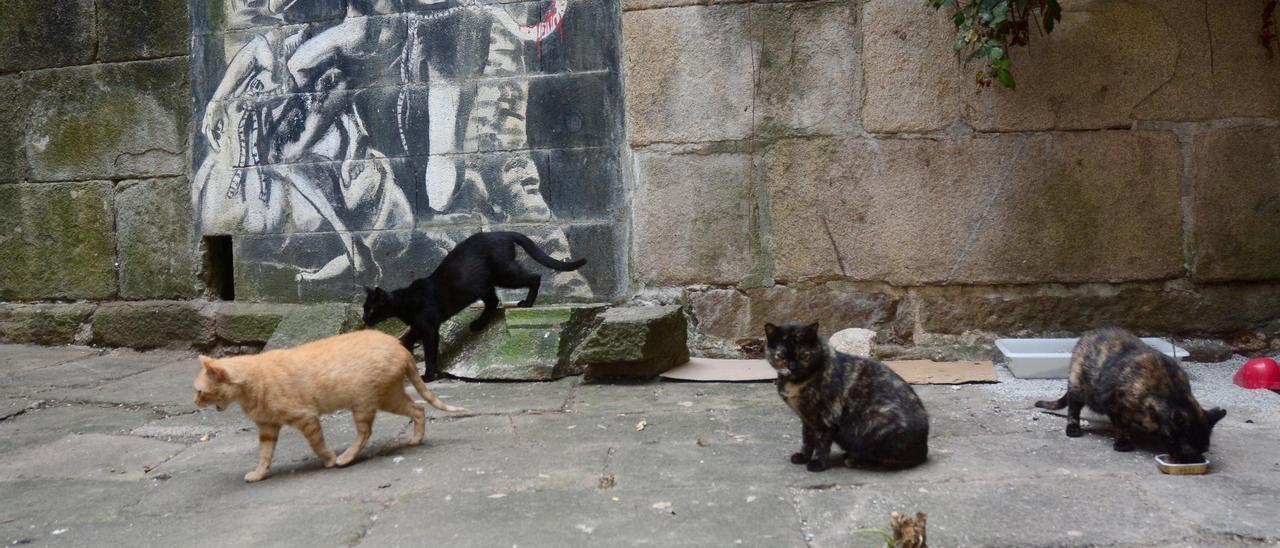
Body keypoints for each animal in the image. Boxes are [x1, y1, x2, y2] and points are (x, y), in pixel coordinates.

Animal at [192, 330, 463, 478]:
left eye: (199, 392)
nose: (194, 402)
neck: (251, 383)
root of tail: (400, 346)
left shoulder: (306, 418)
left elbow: (317, 444)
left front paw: (330, 458)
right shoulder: (267, 428)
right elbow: (265, 455)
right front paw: (259, 474)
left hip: (366, 402)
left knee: (366, 432)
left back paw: (345, 458)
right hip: (389, 397)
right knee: (418, 408)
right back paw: (416, 439)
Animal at [363, 231, 586, 381]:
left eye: (371, 309)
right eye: (365, 308)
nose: (364, 318)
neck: (405, 303)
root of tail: (503, 232)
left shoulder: (429, 329)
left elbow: (429, 353)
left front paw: (428, 375)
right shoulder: (418, 327)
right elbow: (404, 340)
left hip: (503, 274)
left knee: (534, 277)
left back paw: (527, 303)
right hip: (483, 284)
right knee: (493, 301)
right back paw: (478, 324)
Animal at [757, 321, 931, 471]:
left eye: (803, 356)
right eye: (782, 356)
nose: (793, 367)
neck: (796, 382)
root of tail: (923, 450)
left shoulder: (826, 416)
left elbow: (821, 442)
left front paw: (817, 463)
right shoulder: (807, 419)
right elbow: (807, 439)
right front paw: (803, 456)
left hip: (877, 419)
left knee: (886, 460)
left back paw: (853, 460)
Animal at [1034, 325, 1223, 463]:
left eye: (1204, 449)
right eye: (1188, 450)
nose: (1197, 460)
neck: (1171, 391)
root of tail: (1091, 333)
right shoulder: (1117, 406)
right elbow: (1122, 426)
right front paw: (1123, 442)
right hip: (1078, 385)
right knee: (1073, 408)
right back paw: (1073, 428)